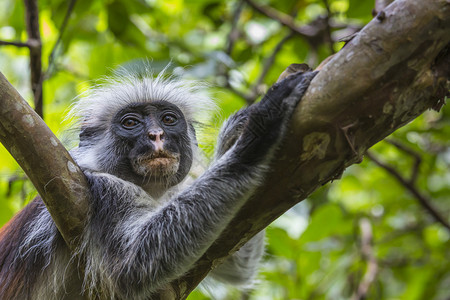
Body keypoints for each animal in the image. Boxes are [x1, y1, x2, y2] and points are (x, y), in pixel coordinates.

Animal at [0, 67, 316, 298]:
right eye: (131, 123)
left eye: (168, 119)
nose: (156, 135)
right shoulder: (100, 188)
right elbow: (130, 267)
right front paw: (258, 131)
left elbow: (237, 267)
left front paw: (235, 133)